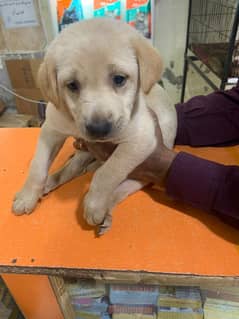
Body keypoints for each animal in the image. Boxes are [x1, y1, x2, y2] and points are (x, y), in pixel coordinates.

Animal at [13, 18, 177, 232]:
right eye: (72, 85)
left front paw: (94, 204)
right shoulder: (51, 129)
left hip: (147, 164)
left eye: (119, 79)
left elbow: (108, 172)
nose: (98, 129)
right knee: (72, 168)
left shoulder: (142, 139)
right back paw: (50, 182)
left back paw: (105, 208)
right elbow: (37, 166)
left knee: (126, 183)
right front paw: (27, 196)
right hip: (84, 151)